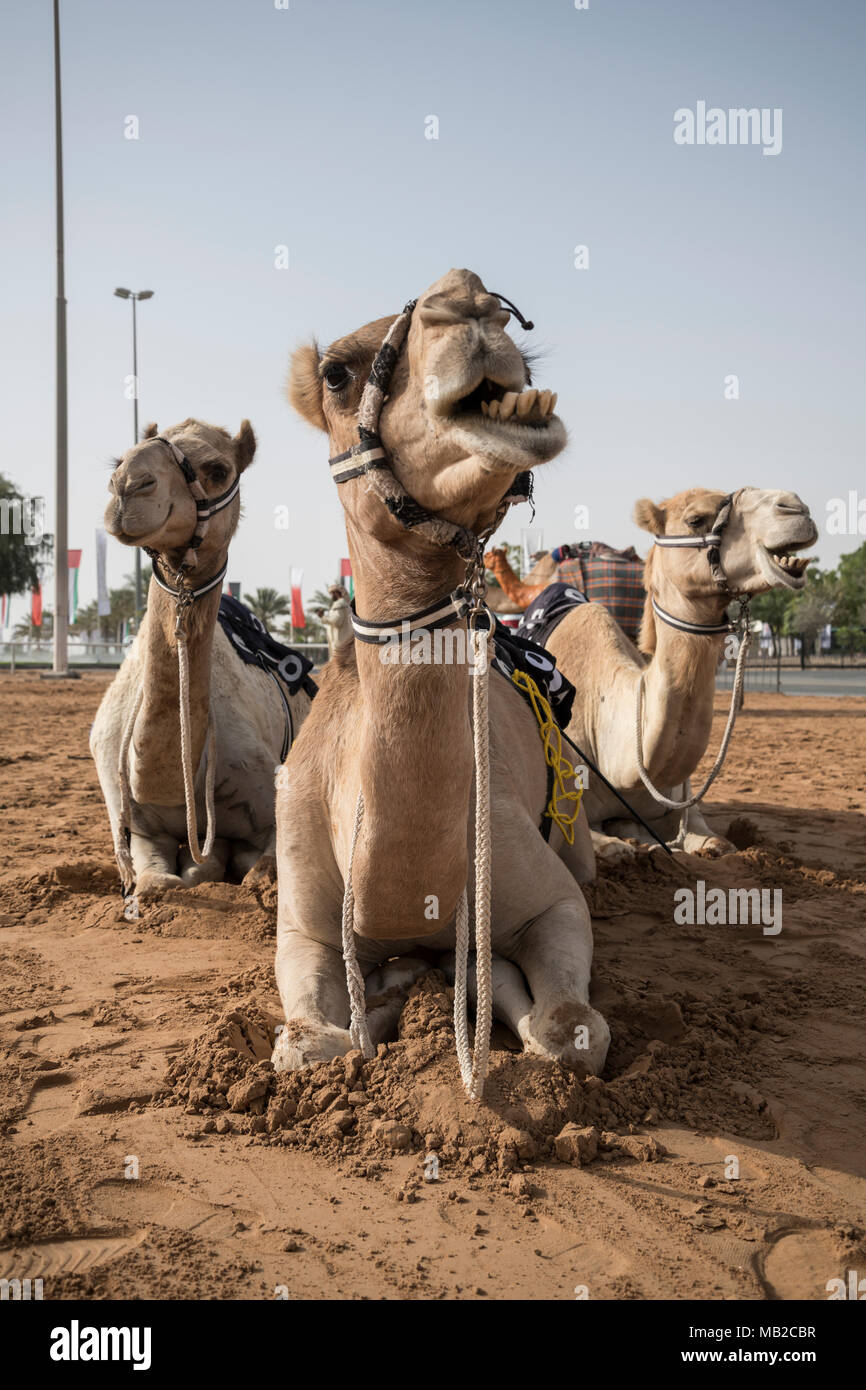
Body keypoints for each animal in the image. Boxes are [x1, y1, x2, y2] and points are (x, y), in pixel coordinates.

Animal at [91, 417, 312, 895]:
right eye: (118, 460)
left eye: (218, 469)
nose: (127, 486)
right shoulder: (139, 829)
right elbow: (155, 881)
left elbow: (252, 868)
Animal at [271, 268, 608, 1073]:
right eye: (336, 374)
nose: (469, 298)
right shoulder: (302, 921)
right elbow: (307, 1044)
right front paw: (381, 1001)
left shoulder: (551, 896)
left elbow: (569, 1028)